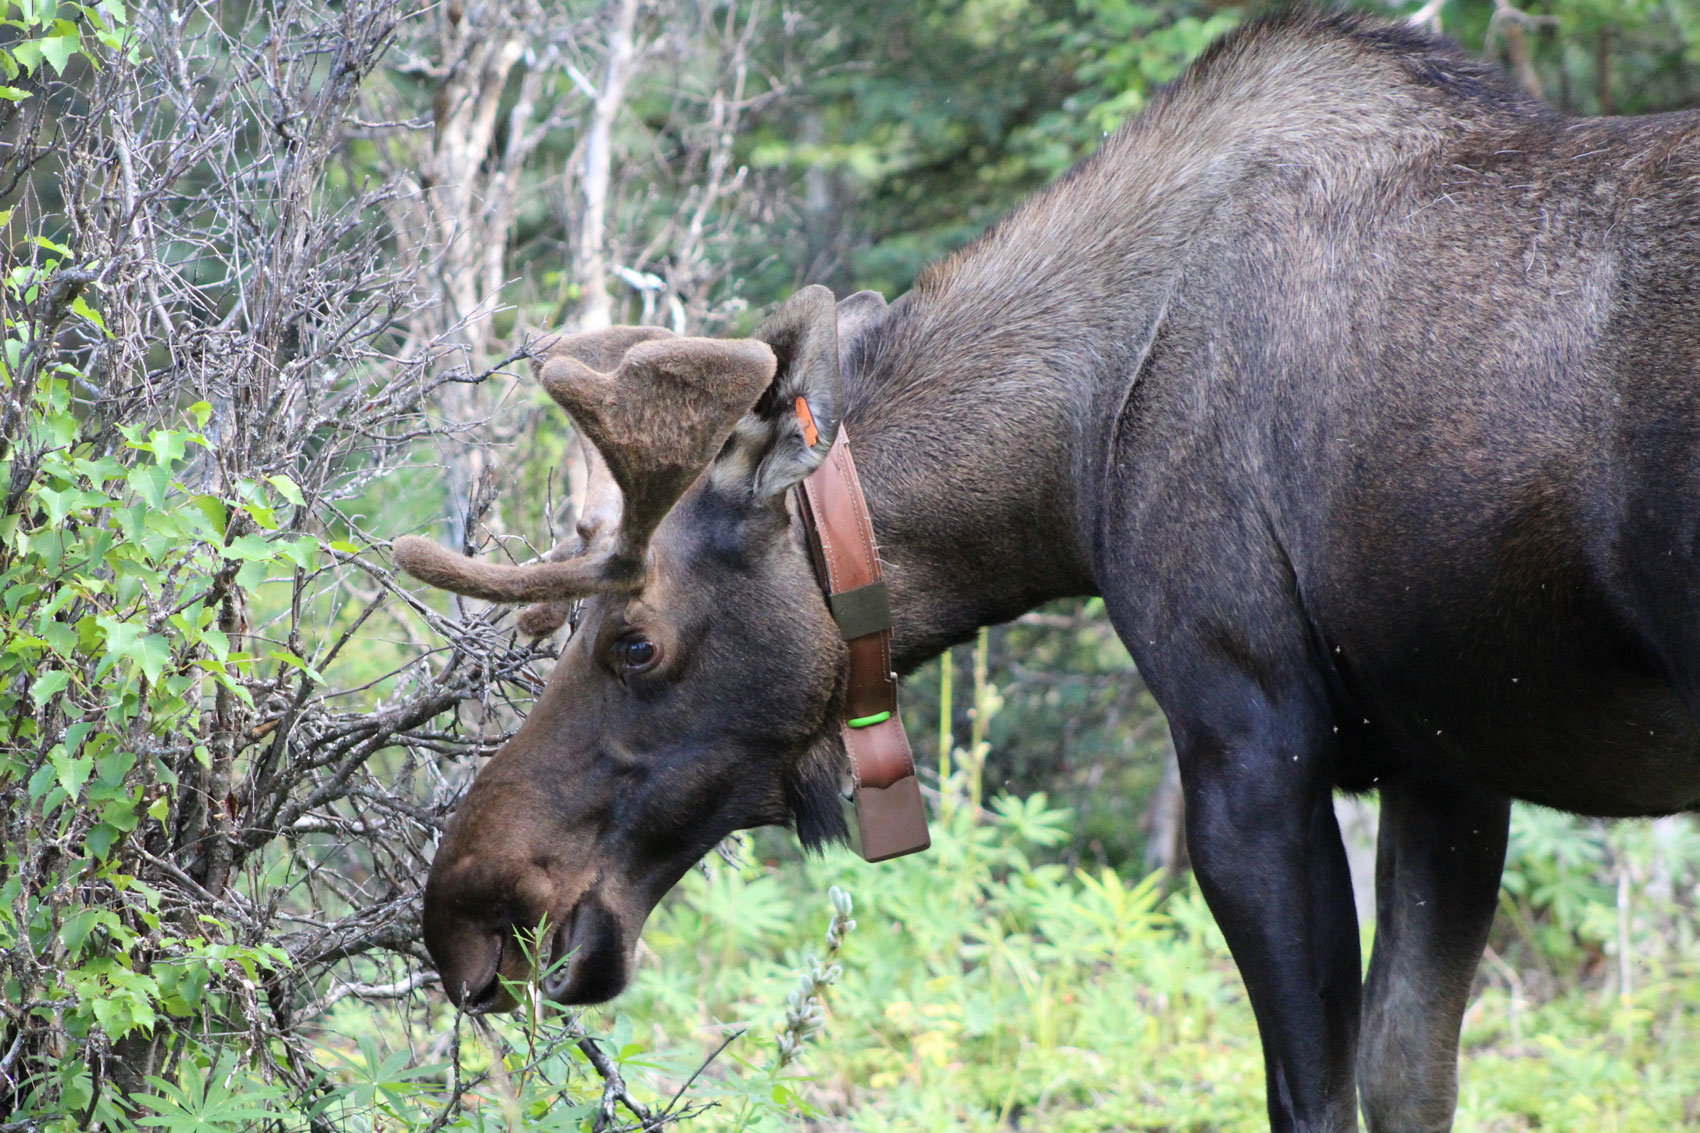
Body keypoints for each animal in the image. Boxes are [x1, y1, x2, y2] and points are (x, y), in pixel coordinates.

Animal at [391, 10, 1700, 1131]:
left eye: (634, 640)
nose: (467, 907)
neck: (1071, 456)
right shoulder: (1450, 765)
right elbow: (1407, 1077)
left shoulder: (1248, 747)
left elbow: (1309, 1092)